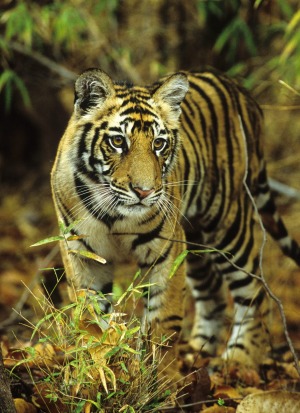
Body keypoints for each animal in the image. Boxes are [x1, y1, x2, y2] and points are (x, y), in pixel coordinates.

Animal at [51, 68, 300, 386]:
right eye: (118, 141)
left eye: (158, 144)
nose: (144, 191)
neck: (113, 214)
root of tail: (240, 90)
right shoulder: (82, 255)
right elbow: (87, 317)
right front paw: (94, 371)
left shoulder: (165, 251)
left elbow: (164, 321)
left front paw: (161, 380)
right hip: (194, 239)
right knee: (213, 291)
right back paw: (198, 349)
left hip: (228, 226)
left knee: (255, 289)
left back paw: (240, 359)